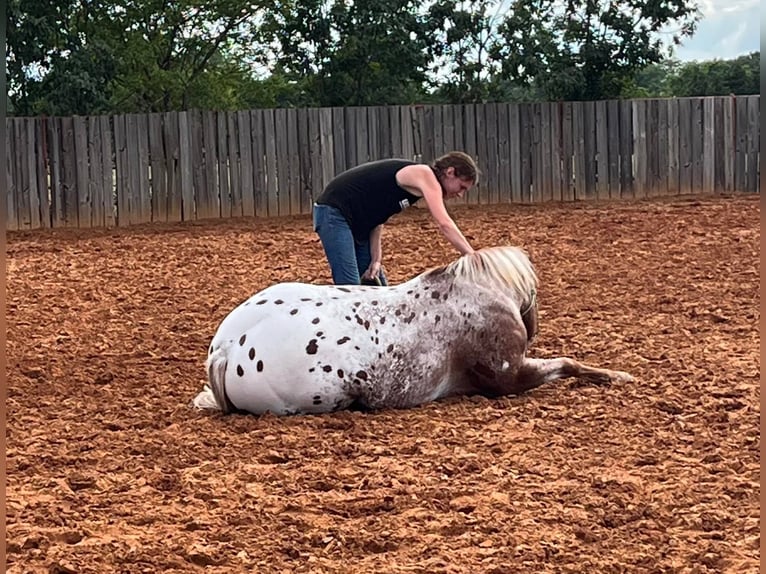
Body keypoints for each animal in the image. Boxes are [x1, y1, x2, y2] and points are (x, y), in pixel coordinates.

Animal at [194, 245, 636, 416]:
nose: (536, 323)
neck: (478, 293)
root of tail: (228, 348)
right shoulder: (511, 378)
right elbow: (569, 363)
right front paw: (616, 375)